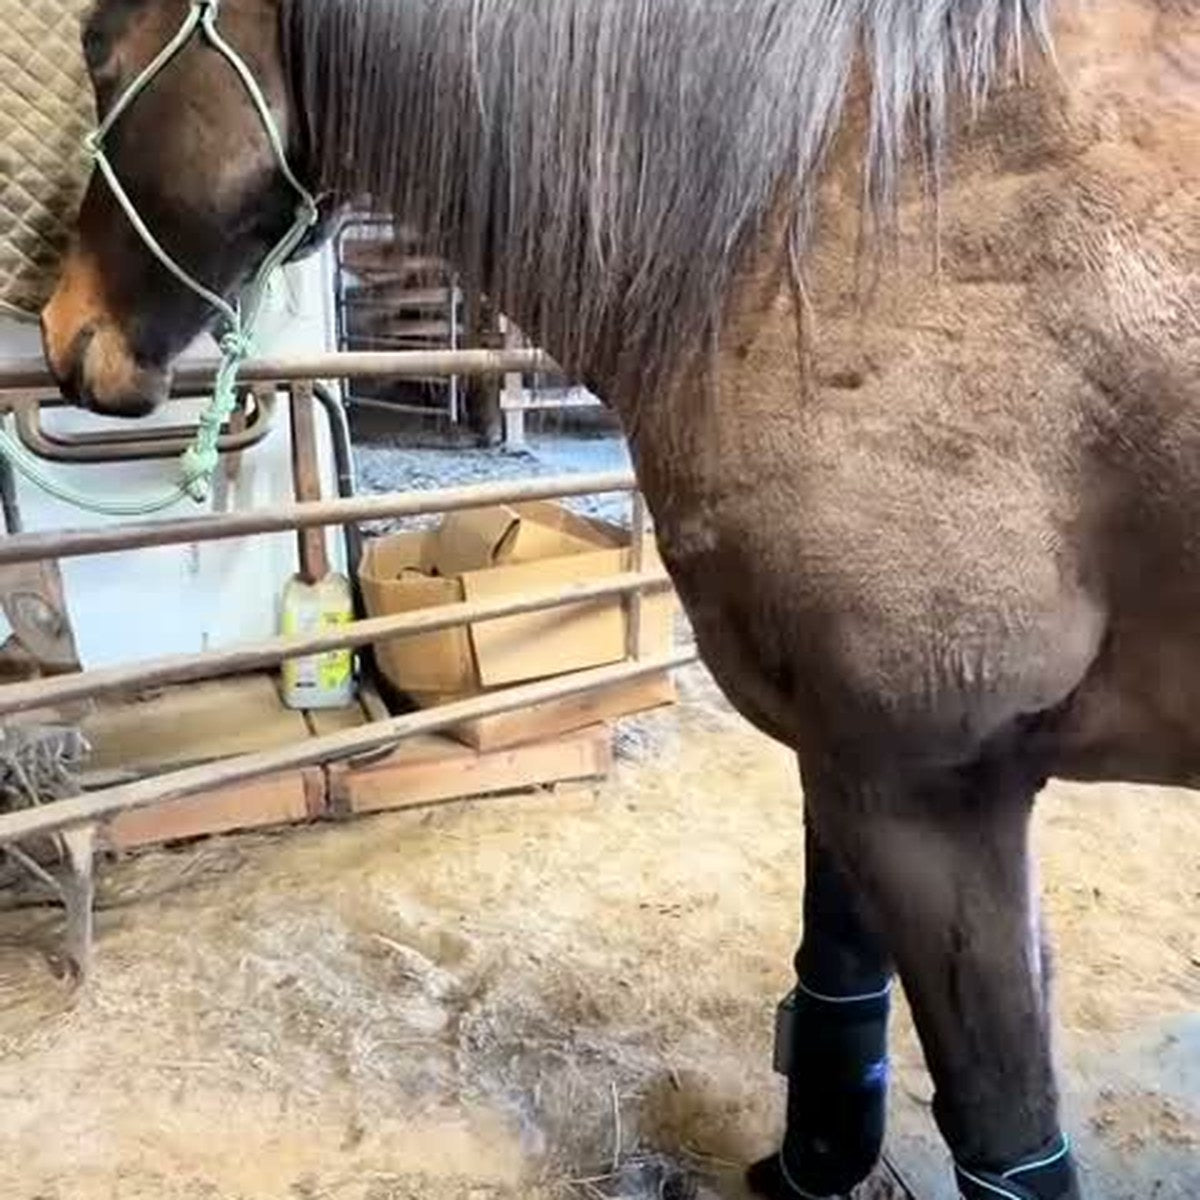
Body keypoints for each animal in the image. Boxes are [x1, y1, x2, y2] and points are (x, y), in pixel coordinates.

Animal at [39, 1, 1198, 1197]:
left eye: (97, 49)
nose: (64, 334)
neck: (833, 222)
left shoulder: (938, 794)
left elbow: (1006, 1130)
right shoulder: (847, 760)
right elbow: (839, 974)